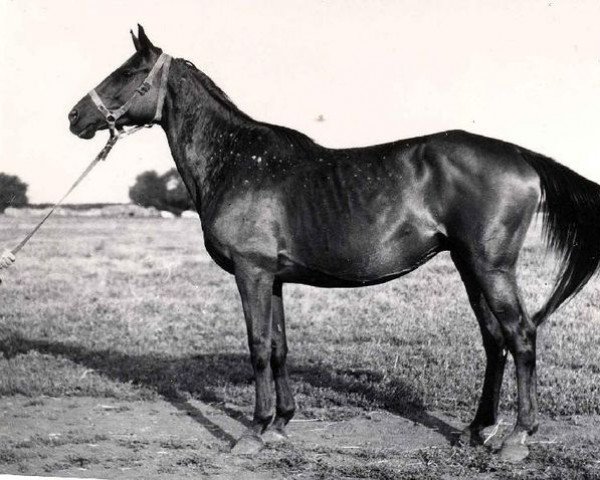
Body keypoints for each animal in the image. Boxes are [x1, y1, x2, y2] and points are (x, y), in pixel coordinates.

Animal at [67, 26, 600, 462]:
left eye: (128, 71)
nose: (75, 116)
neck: (237, 160)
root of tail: (521, 156)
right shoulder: (272, 277)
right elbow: (279, 346)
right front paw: (280, 424)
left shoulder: (251, 271)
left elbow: (257, 346)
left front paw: (253, 431)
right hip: (470, 266)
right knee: (495, 340)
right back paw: (477, 429)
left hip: (491, 267)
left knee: (521, 336)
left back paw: (518, 437)